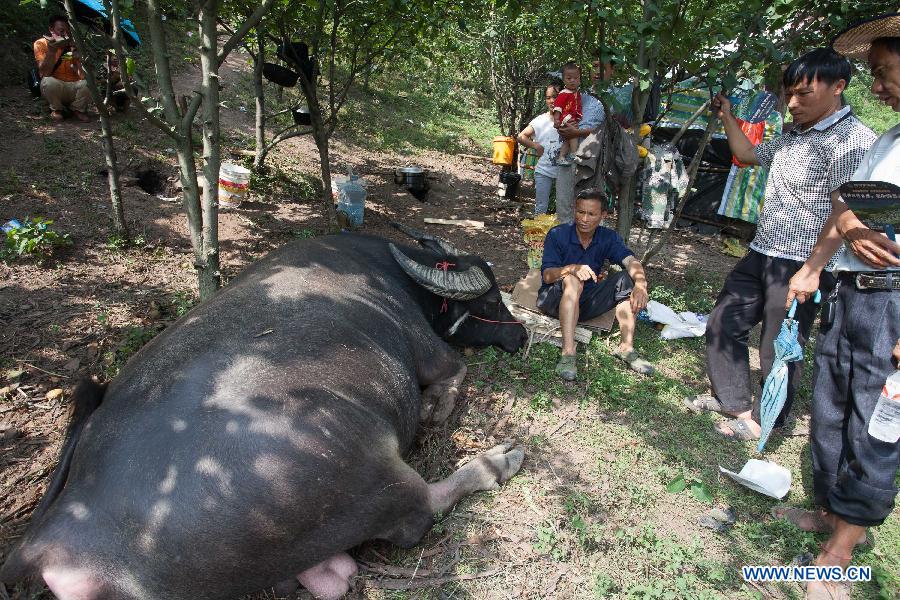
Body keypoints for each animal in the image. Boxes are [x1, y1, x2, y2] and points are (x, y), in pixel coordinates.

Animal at [1, 227, 528, 596]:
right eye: (490, 297)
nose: (521, 334)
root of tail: (52, 537)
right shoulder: (427, 348)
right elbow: (456, 369)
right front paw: (438, 407)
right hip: (375, 475)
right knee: (421, 510)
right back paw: (501, 458)